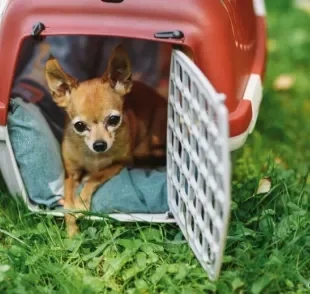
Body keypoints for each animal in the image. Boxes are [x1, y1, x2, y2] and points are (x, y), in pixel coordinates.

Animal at [44, 44, 167, 237]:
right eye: (79, 125)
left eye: (114, 120)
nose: (100, 144)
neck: (94, 157)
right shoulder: (70, 174)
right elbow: (68, 204)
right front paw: (72, 232)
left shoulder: (120, 164)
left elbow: (96, 176)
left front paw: (82, 201)